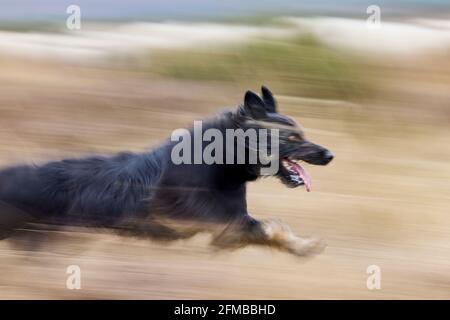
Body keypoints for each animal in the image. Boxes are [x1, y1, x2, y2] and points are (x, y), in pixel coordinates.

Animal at [0, 86, 334, 256]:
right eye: (293, 138)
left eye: (301, 134)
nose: (329, 155)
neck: (223, 161)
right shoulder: (211, 222)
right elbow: (266, 226)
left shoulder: (231, 218)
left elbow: (271, 229)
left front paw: (300, 245)